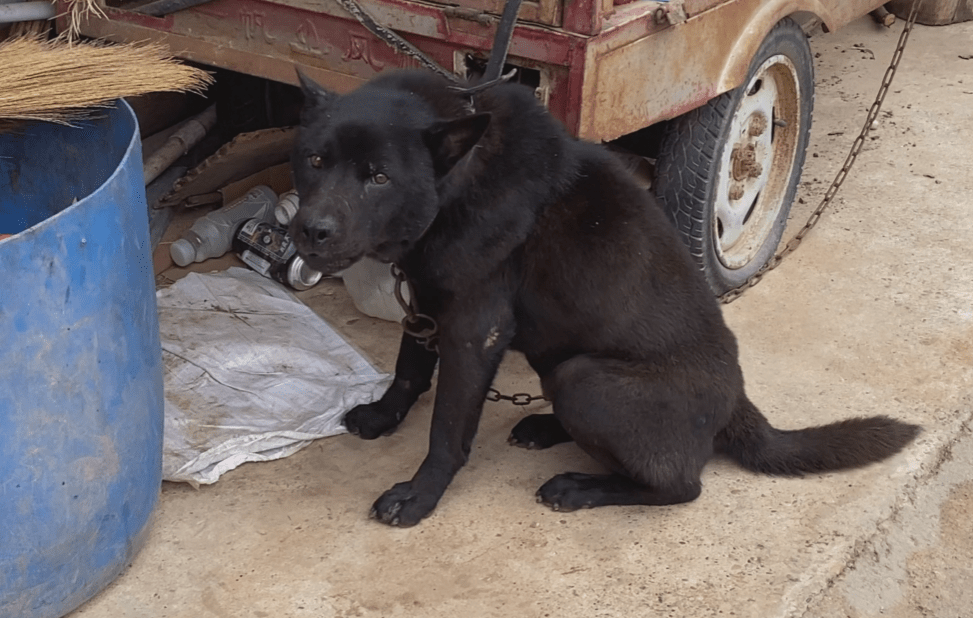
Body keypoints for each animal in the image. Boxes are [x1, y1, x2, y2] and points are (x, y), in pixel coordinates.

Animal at [288, 71, 920, 524]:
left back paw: (580, 488)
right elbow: (409, 368)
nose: (310, 231)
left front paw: (419, 496)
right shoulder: (426, 298)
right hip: (561, 364)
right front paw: (383, 415)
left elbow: (447, 429)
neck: (457, 180)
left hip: (584, 378)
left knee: (682, 486)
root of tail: (738, 406)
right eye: (315, 161)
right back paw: (544, 429)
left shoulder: (473, 326)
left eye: (379, 177)